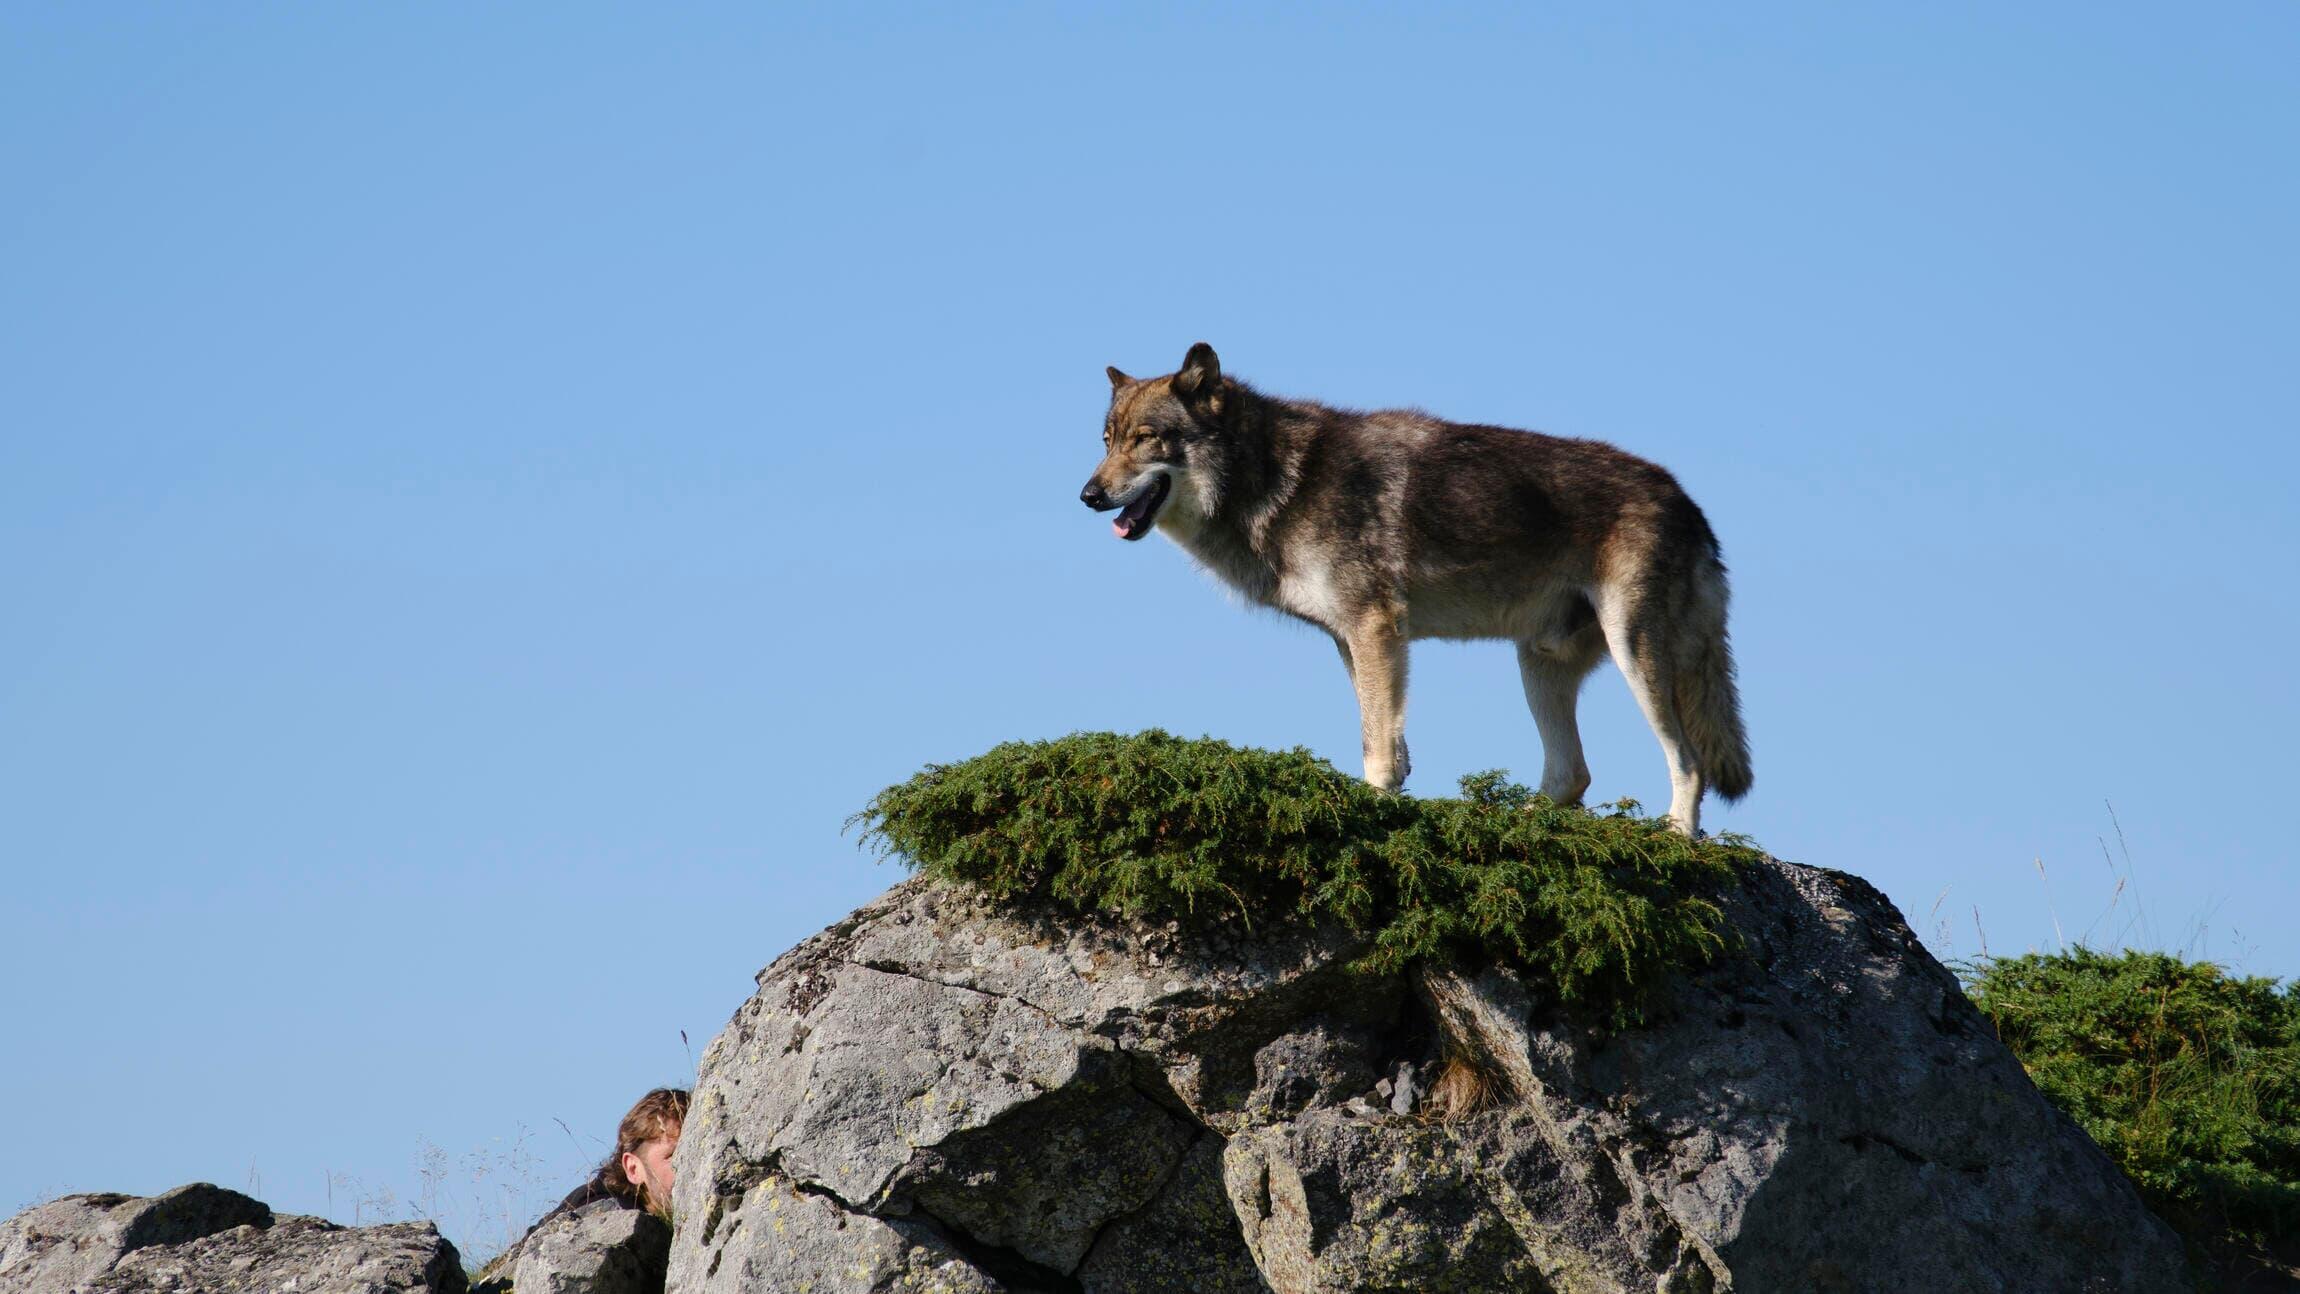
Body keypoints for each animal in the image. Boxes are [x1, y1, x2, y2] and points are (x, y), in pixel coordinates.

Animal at [1071, 342, 1738, 841]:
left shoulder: (1375, 628)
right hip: (1537, 663)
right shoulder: (1351, 641)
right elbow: (1388, 740)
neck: (1277, 479)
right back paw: (1512, 824)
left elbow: (1378, 749)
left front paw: (1373, 812)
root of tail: (1689, 503)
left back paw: (1677, 836)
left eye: (1147, 438)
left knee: (1688, 760)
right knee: (1572, 776)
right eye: (1106, 440)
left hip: (1635, 655)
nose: (1088, 495)